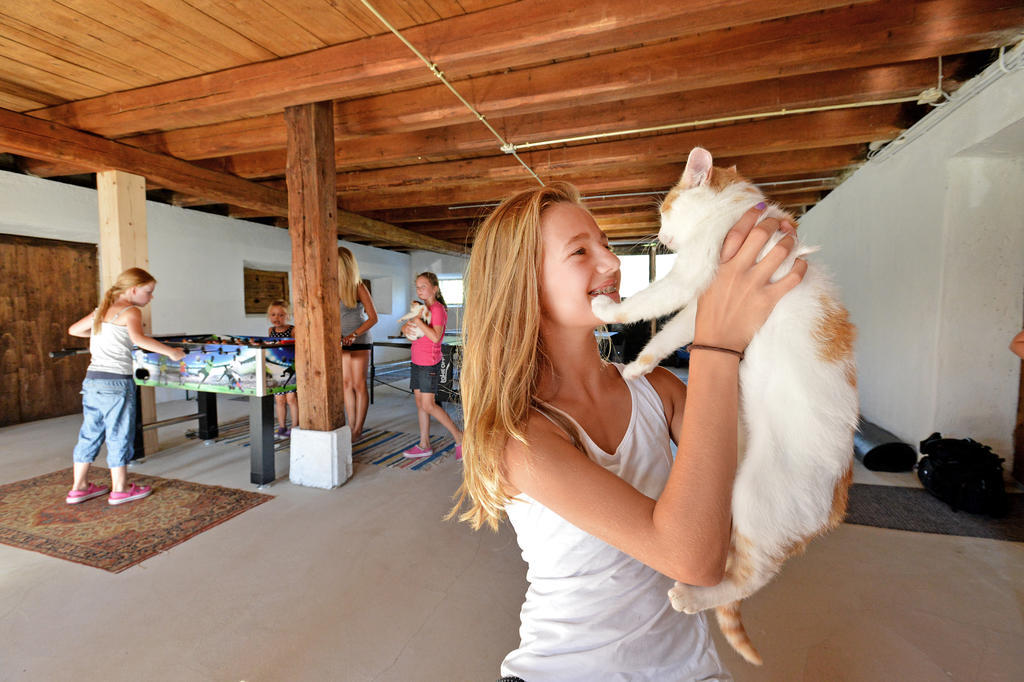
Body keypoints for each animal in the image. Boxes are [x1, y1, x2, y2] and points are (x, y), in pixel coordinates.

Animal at [589, 146, 860, 659]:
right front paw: (637, 367)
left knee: (751, 577)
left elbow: (649, 300)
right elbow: (671, 332)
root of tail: (835, 505)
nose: (661, 236)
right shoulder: (701, 306)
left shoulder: (691, 275)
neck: (737, 212)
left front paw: (608, 309)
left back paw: (693, 597)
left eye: (664, 209)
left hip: (756, 495)